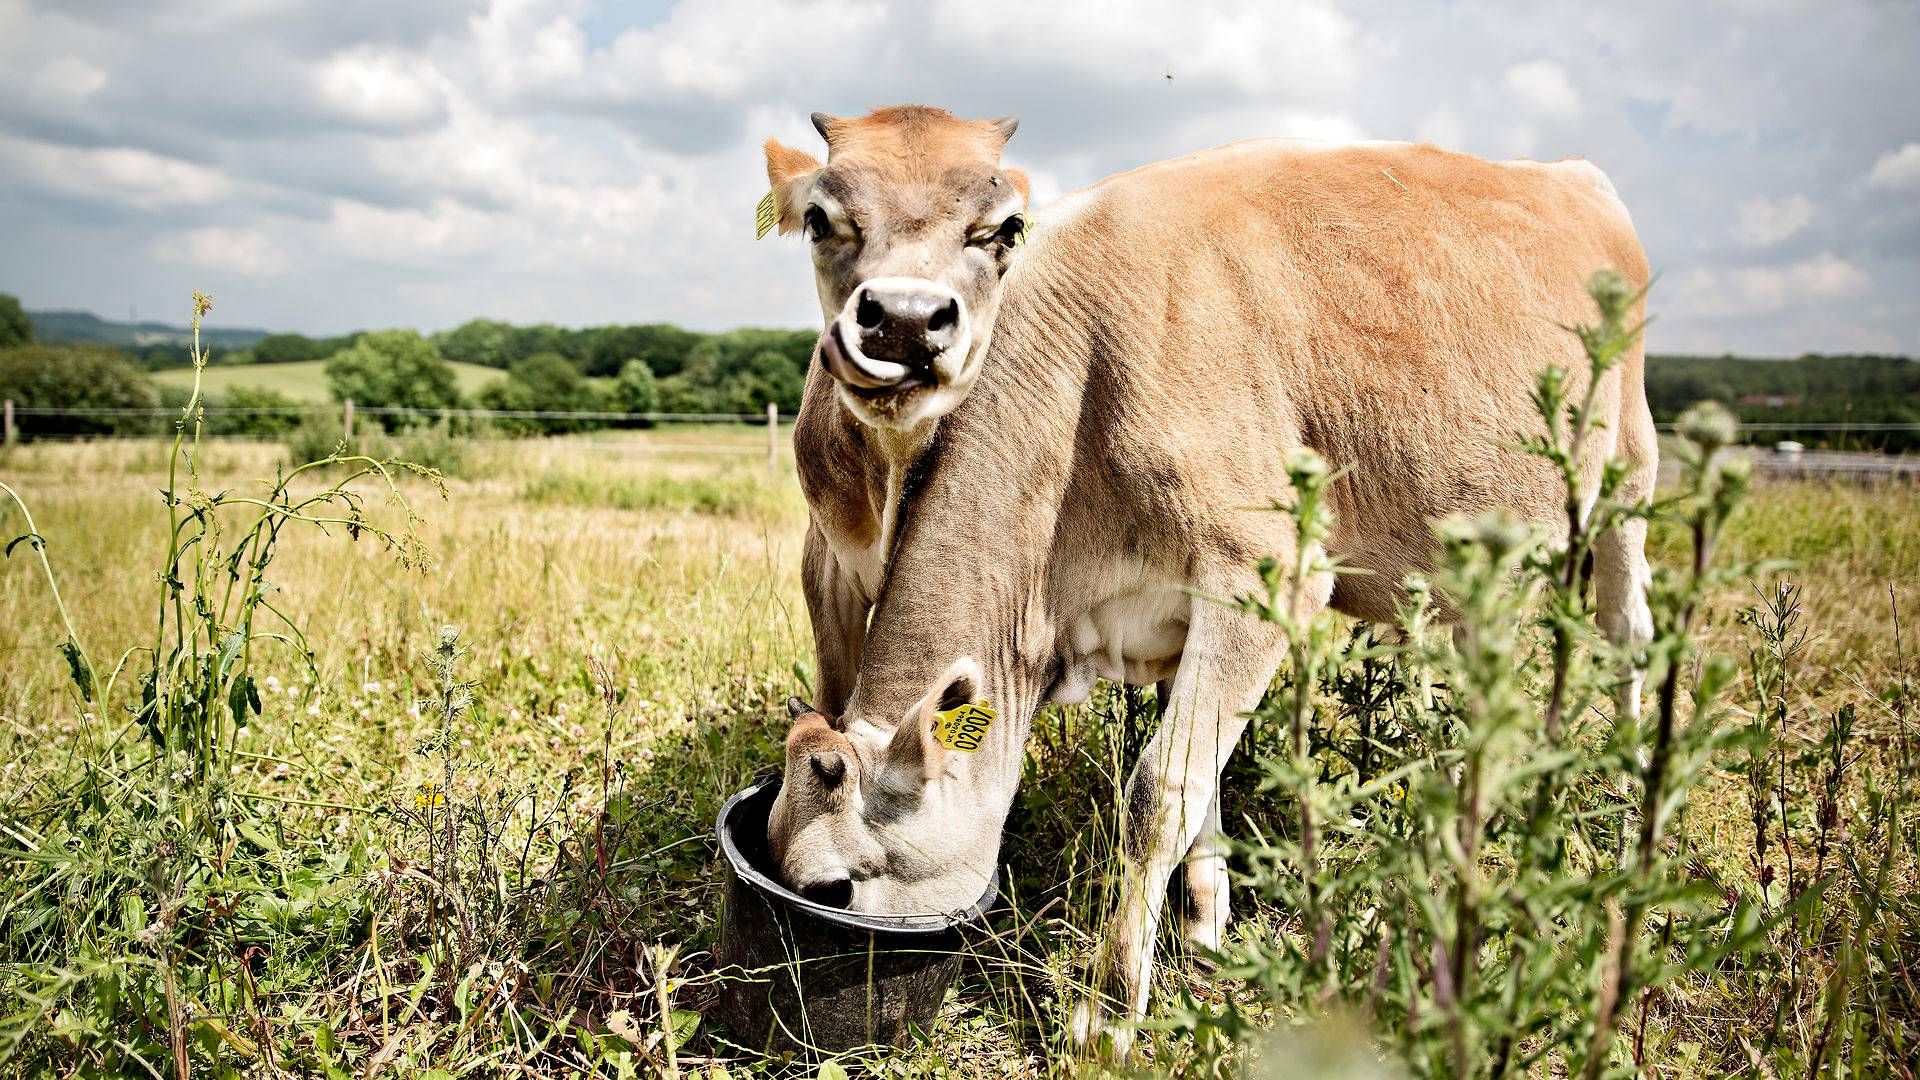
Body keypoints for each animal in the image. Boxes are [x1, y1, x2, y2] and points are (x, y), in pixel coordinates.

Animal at [756, 105, 1658, 1045]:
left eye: (832, 889)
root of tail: (1574, 174)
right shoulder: (1165, 614)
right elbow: (1202, 784)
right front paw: (1205, 923)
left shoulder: (1266, 577)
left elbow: (1161, 792)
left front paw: (1111, 1006)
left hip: (1630, 469)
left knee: (1627, 633)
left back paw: (1630, 803)